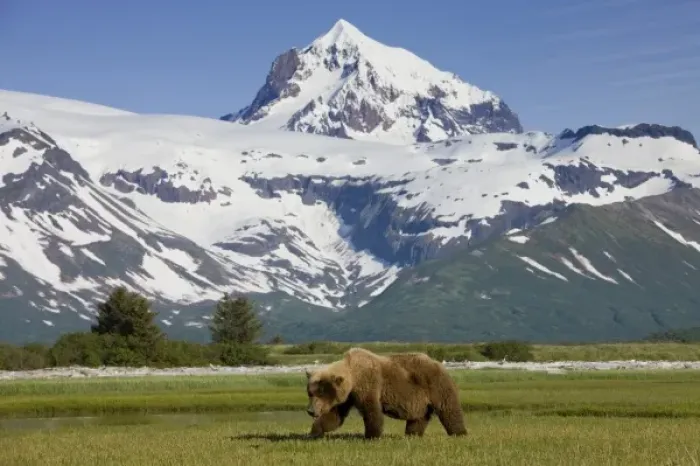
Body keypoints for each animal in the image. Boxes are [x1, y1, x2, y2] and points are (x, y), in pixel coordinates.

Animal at [304, 347, 467, 439]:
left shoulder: (369, 383)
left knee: (448, 408)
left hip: (435, 384)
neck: (353, 374)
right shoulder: (347, 397)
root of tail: (439, 364)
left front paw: (372, 435)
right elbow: (335, 416)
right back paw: (412, 435)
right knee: (419, 416)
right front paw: (314, 432)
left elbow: (372, 411)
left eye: (320, 393)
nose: (311, 410)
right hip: (419, 398)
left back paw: (459, 433)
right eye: (310, 393)